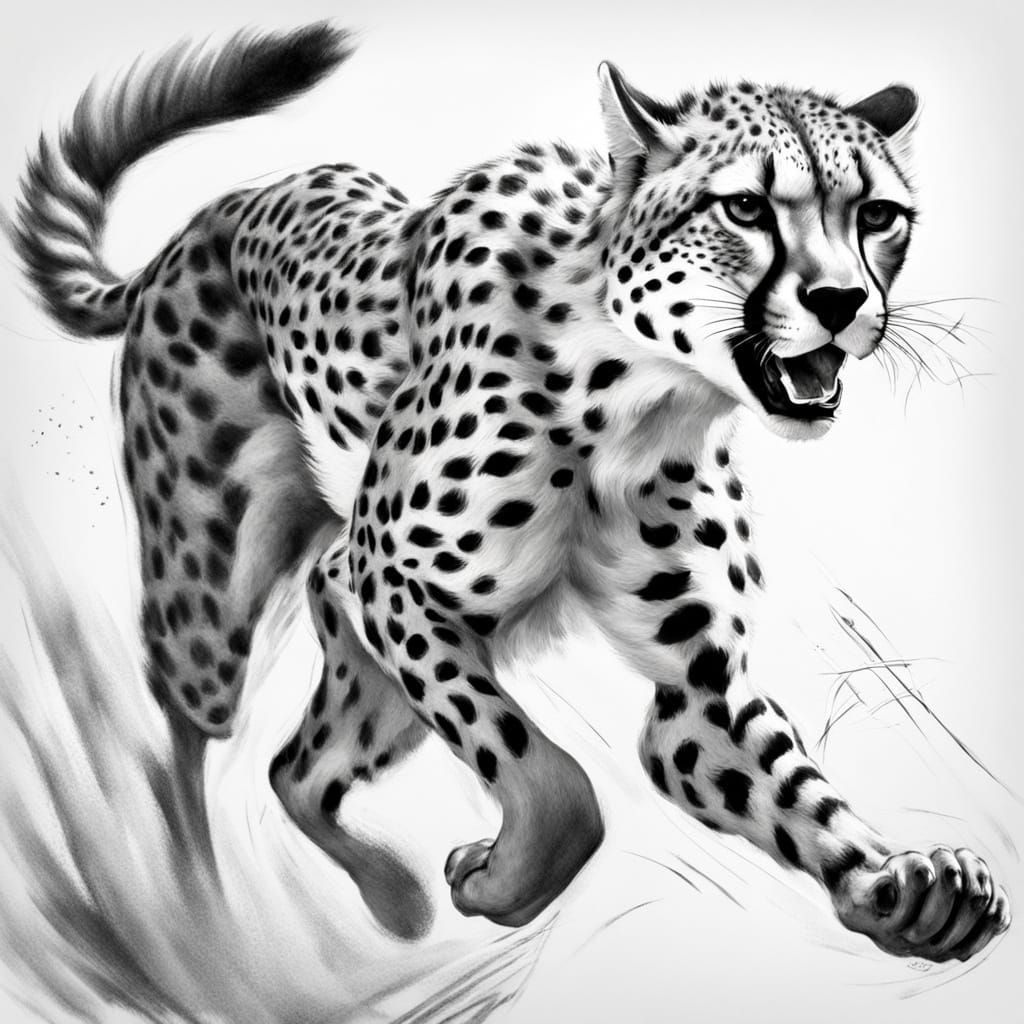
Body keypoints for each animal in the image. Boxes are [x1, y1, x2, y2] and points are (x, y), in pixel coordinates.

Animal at [10, 21, 1010, 958]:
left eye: (878, 214)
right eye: (745, 208)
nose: (843, 302)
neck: (634, 393)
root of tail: (198, 226)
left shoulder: (697, 687)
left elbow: (793, 793)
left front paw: (903, 888)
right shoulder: (392, 577)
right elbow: (550, 778)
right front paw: (501, 882)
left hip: (346, 629)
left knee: (296, 770)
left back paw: (392, 901)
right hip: (213, 598)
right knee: (181, 745)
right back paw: (201, 921)